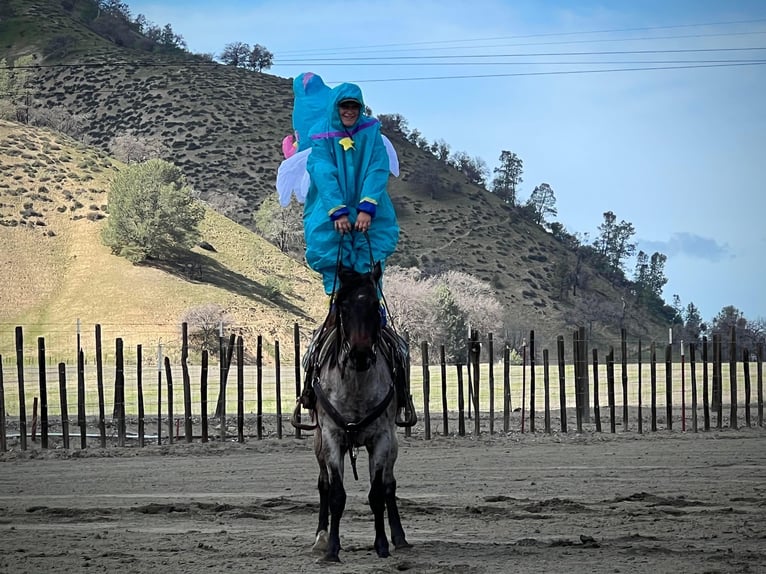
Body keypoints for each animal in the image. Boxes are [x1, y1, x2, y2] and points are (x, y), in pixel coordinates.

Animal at [304, 264, 412, 564]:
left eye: (375, 304)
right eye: (342, 305)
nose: (360, 354)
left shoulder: (382, 440)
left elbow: (377, 494)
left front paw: (382, 544)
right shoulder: (331, 438)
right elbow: (336, 495)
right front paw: (331, 550)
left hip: (392, 444)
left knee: (389, 485)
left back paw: (400, 538)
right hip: (318, 443)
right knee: (324, 484)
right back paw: (320, 539)